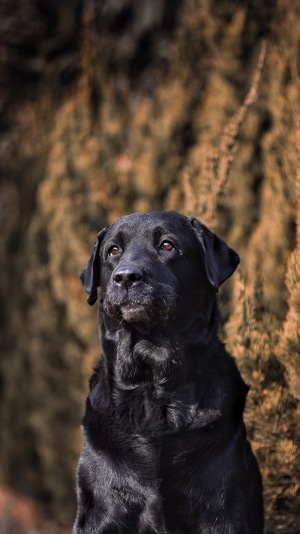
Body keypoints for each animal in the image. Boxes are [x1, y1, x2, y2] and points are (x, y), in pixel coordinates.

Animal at [74, 211, 264, 532]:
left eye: (167, 245)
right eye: (113, 251)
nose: (126, 277)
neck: (153, 386)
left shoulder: (220, 510)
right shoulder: (101, 511)